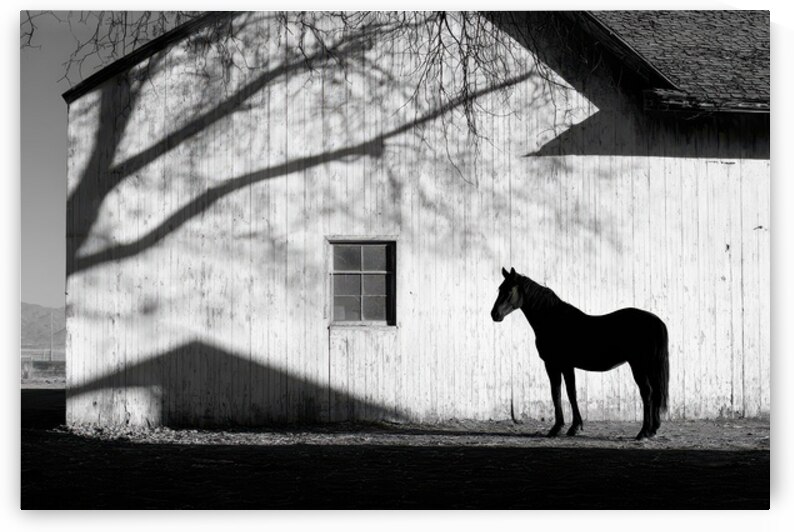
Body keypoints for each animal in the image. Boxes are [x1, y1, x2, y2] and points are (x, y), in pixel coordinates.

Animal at [490, 267, 669, 440]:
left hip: (639, 366)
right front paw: (572, 427)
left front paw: (560, 428)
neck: (552, 319)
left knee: (647, 393)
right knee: (655, 393)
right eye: (499, 289)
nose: (494, 314)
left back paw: (643, 432)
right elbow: (568, 393)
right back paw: (653, 430)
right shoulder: (565, 366)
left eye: (509, 290)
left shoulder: (555, 365)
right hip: (649, 367)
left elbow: (560, 393)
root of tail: (655, 320)